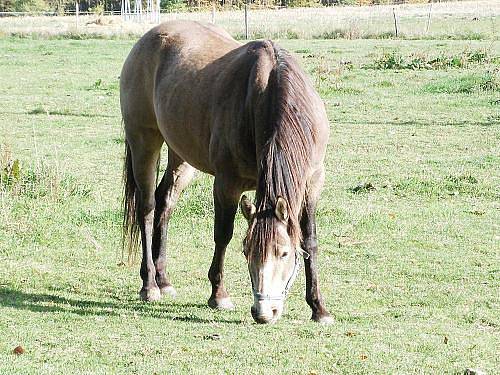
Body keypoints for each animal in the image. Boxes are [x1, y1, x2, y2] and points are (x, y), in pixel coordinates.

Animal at [120, 20, 332, 324]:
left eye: (283, 253)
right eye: (246, 251)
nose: (263, 312)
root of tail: (147, 38)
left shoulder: (312, 183)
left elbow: (310, 241)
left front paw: (318, 307)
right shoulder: (227, 184)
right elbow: (223, 235)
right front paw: (218, 295)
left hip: (180, 155)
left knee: (164, 203)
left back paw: (163, 280)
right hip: (144, 142)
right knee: (146, 208)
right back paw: (149, 285)